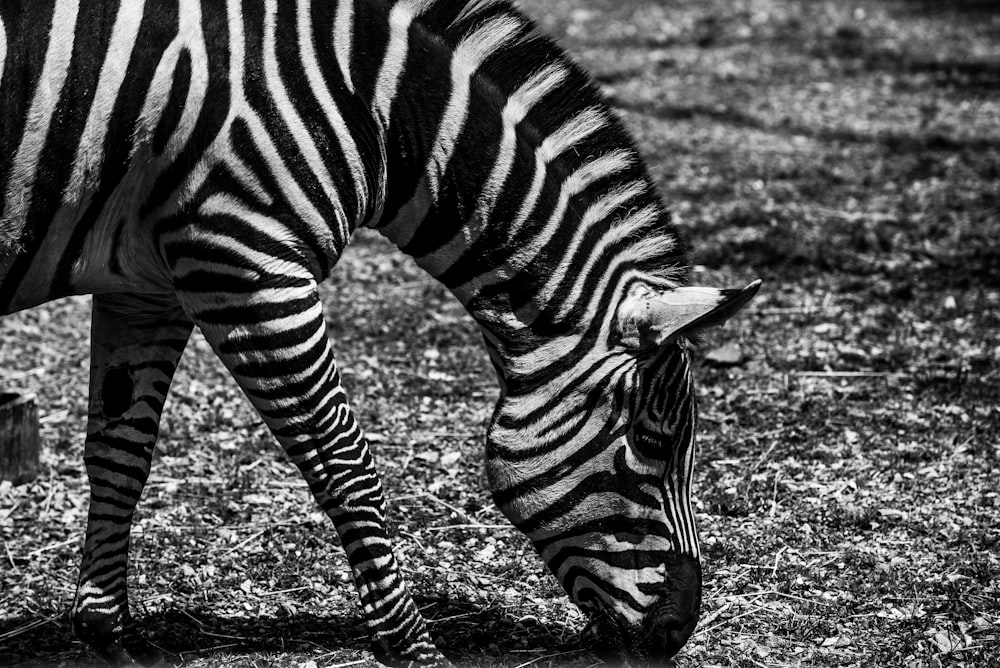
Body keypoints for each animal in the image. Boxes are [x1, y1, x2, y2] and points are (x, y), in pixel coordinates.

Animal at [1, 0, 756, 664]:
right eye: (652, 444)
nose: (677, 633)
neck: (369, 107)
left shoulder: (147, 283)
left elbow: (120, 450)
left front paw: (108, 631)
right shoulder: (245, 264)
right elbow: (346, 463)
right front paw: (412, 645)